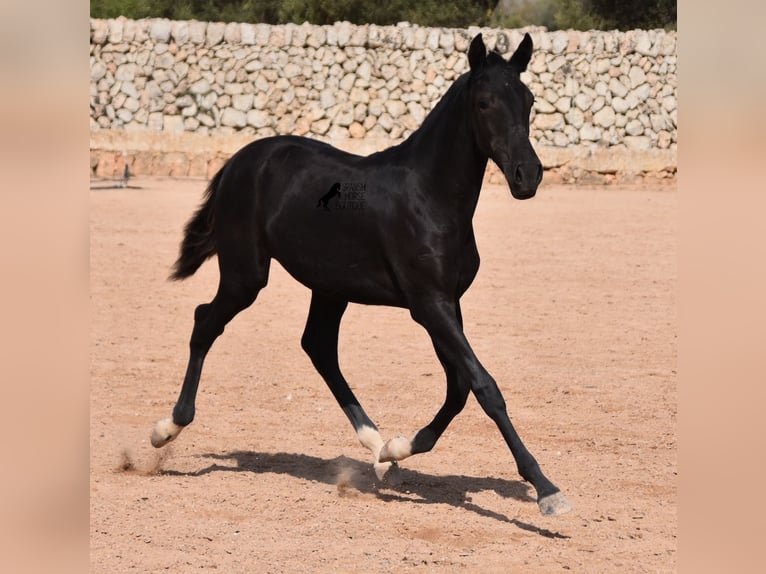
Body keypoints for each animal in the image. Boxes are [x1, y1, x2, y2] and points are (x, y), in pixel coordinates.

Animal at [152, 32, 568, 516]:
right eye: (484, 103)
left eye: (528, 100)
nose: (528, 176)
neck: (430, 195)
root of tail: (241, 159)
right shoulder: (429, 305)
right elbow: (484, 386)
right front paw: (547, 489)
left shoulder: (448, 302)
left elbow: (459, 387)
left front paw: (396, 448)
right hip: (246, 275)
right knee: (206, 322)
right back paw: (166, 429)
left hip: (329, 286)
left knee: (318, 347)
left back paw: (376, 448)